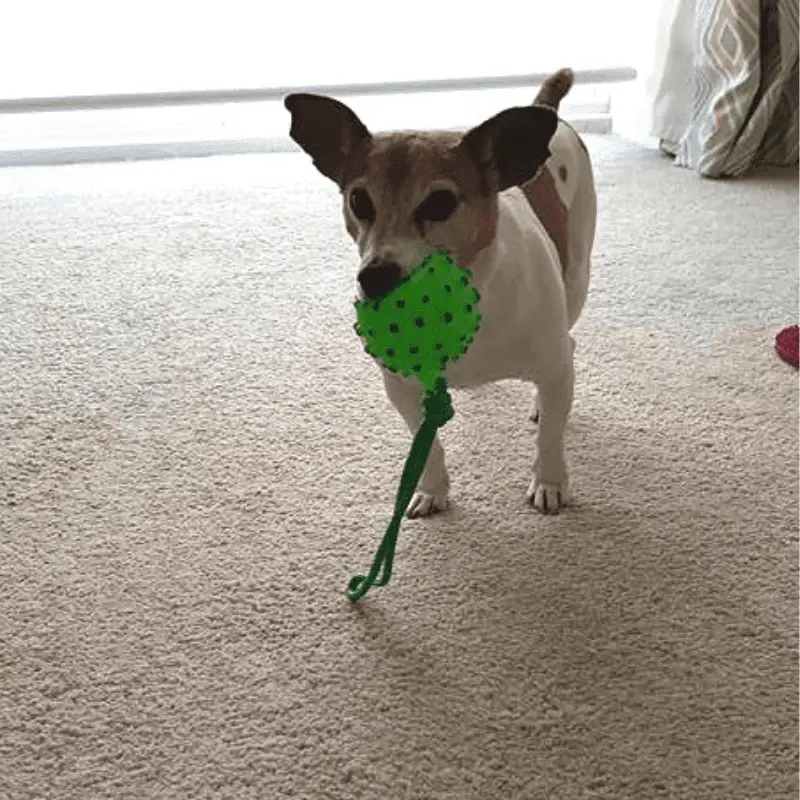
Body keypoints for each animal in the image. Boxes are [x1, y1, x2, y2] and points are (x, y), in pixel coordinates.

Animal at [286, 69, 592, 520]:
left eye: (440, 203)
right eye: (359, 200)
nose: (374, 277)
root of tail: (549, 112)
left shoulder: (552, 367)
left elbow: (550, 439)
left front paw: (550, 482)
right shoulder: (402, 389)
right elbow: (427, 448)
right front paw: (432, 490)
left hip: (576, 280)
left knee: (566, 347)